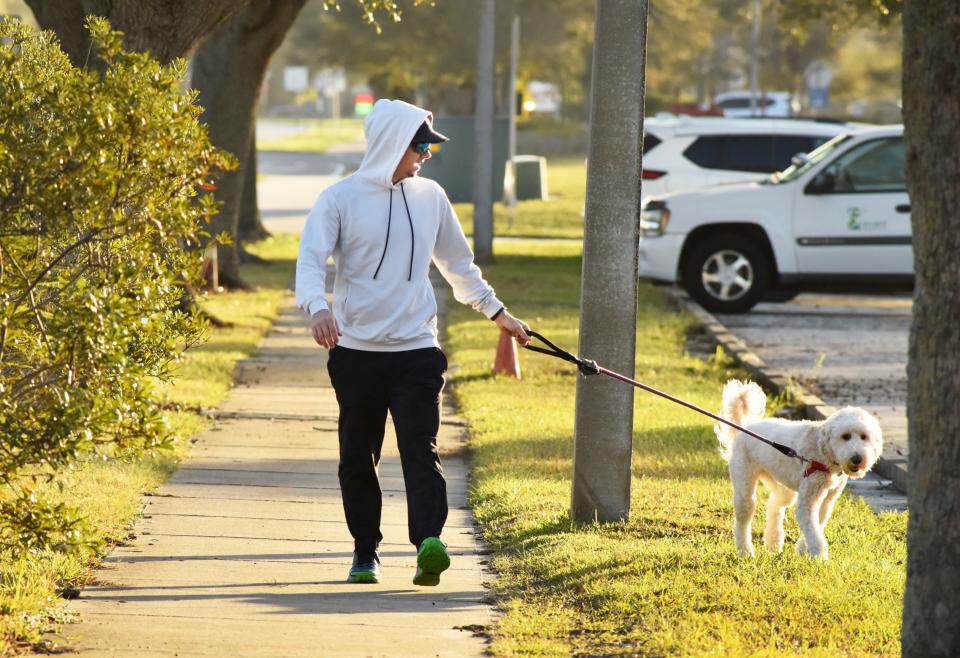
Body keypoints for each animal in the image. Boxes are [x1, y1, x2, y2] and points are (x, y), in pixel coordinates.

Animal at [712, 380, 884, 560]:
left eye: (864, 437)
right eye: (846, 436)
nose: (857, 458)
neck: (824, 453)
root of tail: (744, 429)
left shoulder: (827, 500)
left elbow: (817, 525)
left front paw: (803, 549)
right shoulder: (808, 499)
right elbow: (813, 530)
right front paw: (819, 556)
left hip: (779, 483)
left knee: (775, 504)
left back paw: (773, 543)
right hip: (744, 482)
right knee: (744, 517)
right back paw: (745, 551)